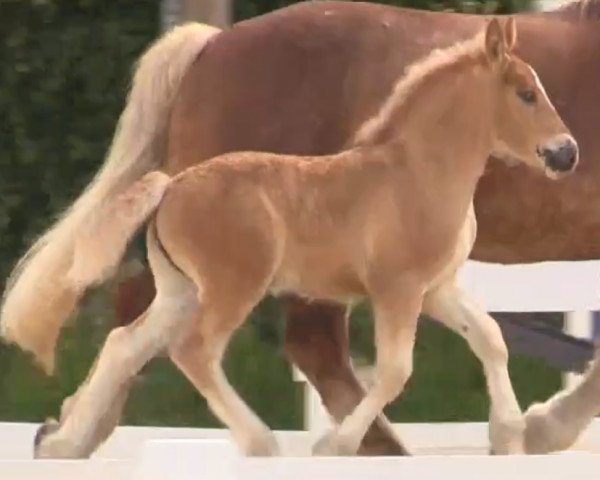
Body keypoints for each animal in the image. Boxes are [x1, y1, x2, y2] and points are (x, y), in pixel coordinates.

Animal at [3, 0, 600, 458]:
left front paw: (517, 433)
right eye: (526, 93)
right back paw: (265, 442)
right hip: (234, 288)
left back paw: (64, 440)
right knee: (197, 347)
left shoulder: (436, 288)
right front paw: (335, 446)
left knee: (132, 338)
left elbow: (490, 339)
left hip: (184, 290)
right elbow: (395, 369)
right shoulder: (398, 289)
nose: (566, 153)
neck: (417, 168)